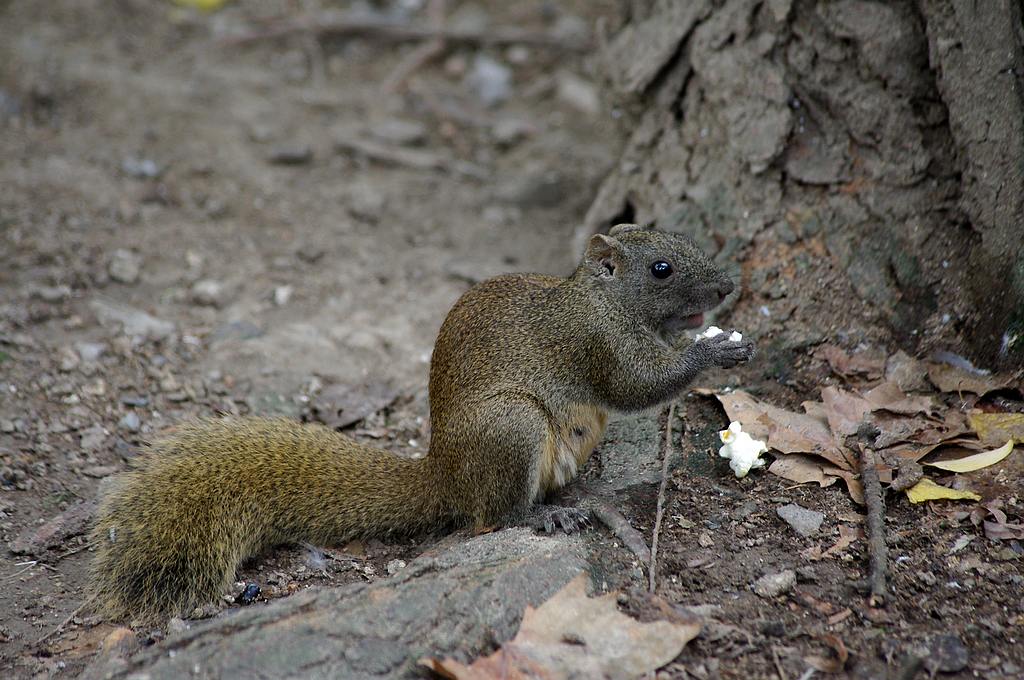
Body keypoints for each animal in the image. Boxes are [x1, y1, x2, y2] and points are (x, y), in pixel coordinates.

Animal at [88, 225, 753, 618]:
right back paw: (545, 515)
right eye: (662, 268)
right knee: (494, 515)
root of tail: (445, 474)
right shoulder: (597, 345)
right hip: (512, 428)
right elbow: (636, 386)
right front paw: (710, 352)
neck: (602, 301)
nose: (726, 285)